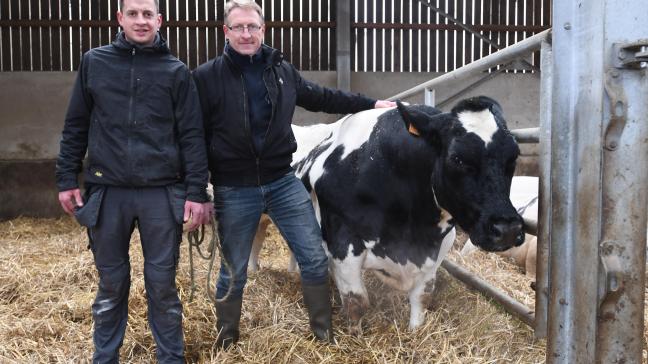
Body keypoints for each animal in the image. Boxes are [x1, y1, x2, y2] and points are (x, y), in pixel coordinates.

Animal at [294, 95, 528, 328]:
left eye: (514, 157)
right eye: (457, 158)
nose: (507, 229)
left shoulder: (439, 246)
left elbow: (422, 297)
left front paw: (415, 331)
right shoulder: (342, 243)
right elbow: (356, 302)